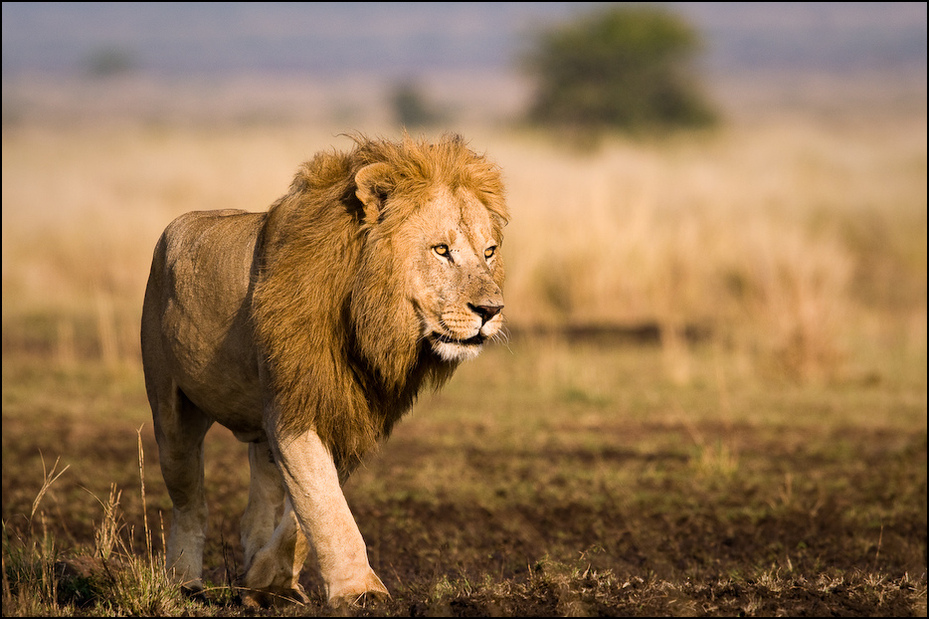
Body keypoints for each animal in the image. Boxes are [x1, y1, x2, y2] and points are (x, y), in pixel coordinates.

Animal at [140, 134, 508, 604]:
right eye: (441, 250)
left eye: (489, 252)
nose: (491, 311)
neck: (369, 324)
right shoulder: (293, 405)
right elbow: (325, 504)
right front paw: (361, 592)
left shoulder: (350, 410)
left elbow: (309, 510)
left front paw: (266, 580)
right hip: (171, 409)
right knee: (190, 501)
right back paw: (184, 583)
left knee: (256, 507)